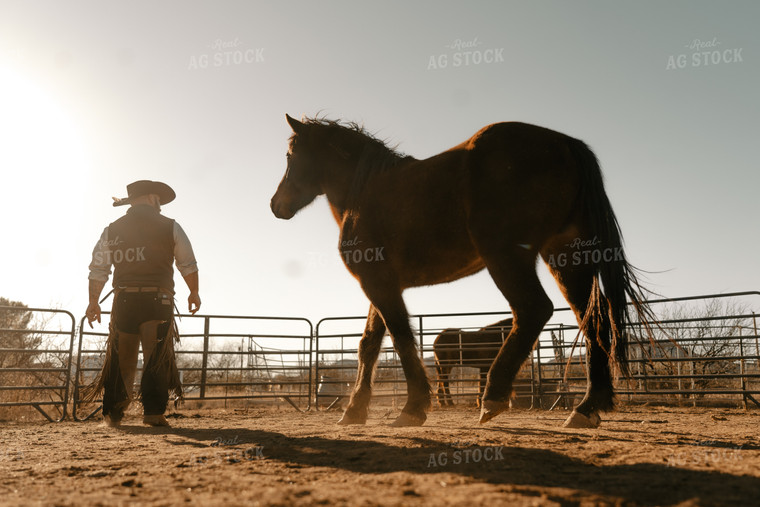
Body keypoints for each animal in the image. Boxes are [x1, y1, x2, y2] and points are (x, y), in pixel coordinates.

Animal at [274, 115, 652, 428]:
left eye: (291, 156)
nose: (276, 205)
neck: (364, 192)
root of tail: (566, 144)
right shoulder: (380, 284)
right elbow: (369, 344)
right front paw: (354, 411)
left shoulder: (378, 284)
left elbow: (400, 337)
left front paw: (412, 408)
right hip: (566, 259)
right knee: (594, 321)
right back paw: (587, 408)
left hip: (508, 257)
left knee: (533, 310)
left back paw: (494, 398)